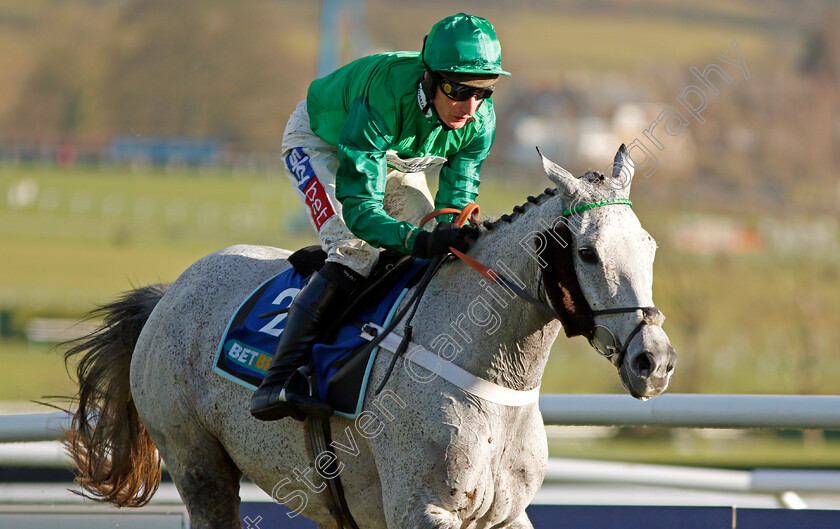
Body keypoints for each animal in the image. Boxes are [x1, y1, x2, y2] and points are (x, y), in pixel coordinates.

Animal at [62, 146, 676, 528]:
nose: (654, 360)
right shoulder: (420, 510)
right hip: (197, 462)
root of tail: (171, 293)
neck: (487, 377)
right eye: (587, 252)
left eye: (649, 245)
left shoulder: (504, 514)